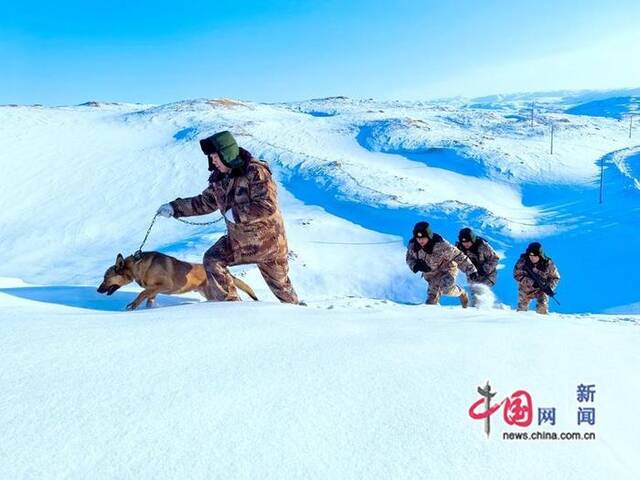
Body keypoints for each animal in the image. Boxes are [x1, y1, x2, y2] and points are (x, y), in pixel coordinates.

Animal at [97, 251, 258, 312]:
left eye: (106, 277)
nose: (98, 290)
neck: (137, 267)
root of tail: (227, 271)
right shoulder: (153, 291)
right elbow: (148, 298)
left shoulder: (163, 285)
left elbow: (142, 293)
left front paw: (132, 306)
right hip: (210, 294)